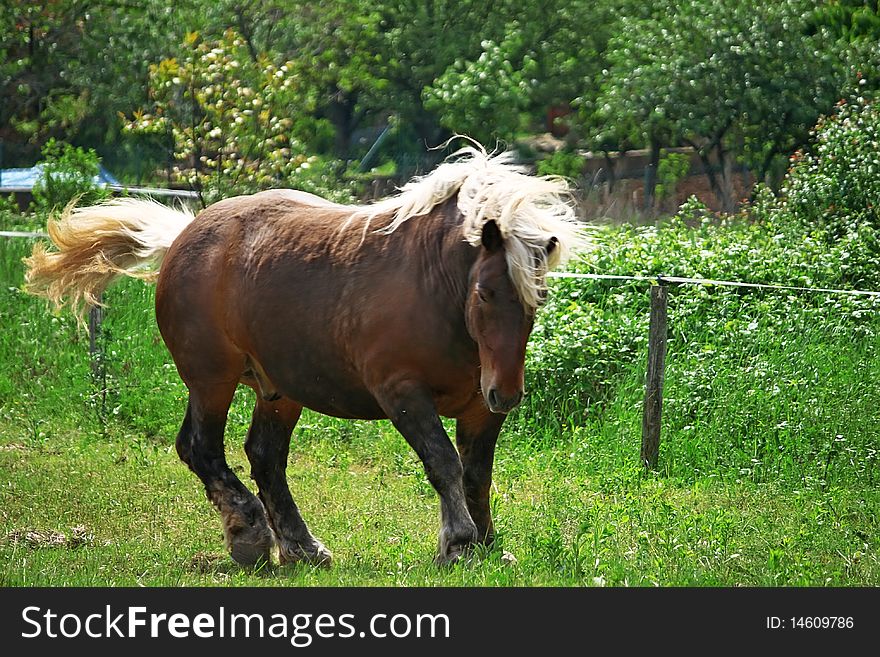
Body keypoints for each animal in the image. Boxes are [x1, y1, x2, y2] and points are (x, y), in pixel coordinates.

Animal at [25, 146, 592, 568]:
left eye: (537, 297)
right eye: (485, 293)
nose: (507, 392)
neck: (435, 286)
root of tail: (185, 235)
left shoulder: (478, 408)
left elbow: (477, 474)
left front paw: (488, 546)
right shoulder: (403, 394)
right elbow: (444, 464)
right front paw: (458, 544)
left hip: (279, 390)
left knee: (264, 456)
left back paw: (301, 545)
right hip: (212, 379)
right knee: (201, 447)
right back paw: (250, 534)